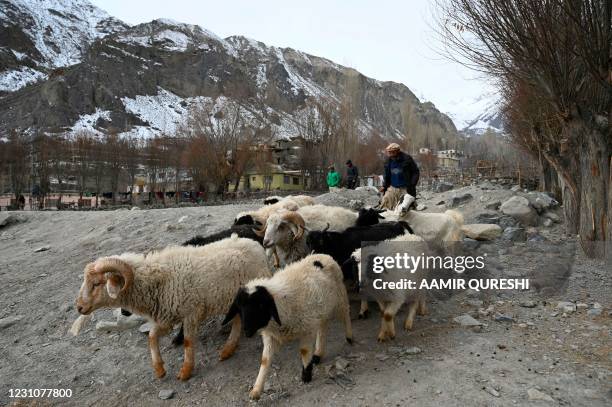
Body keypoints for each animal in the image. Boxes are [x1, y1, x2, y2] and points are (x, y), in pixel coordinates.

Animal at [74, 236, 270, 382]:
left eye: (96, 283)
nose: (79, 307)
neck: (156, 281)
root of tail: (255, 245)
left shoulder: (192, 312)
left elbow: (188, 341)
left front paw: (186, 371)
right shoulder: (167, 316)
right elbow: (152, 337)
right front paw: (159, 369)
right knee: (237, 321)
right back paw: (228, 350)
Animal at [222, 253, 352, 400]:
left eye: (260, 305)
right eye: (240, 308)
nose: (247, 331)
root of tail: (323, 255)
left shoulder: (307, 328)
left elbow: (304, 351)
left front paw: (306, 375)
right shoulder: (270, 337)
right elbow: (265, 360)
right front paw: (256, 390)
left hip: (340, 297)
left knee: (346, 313)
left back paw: (349, 336)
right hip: (321, 310)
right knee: (322, 328)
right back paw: (318, 354)